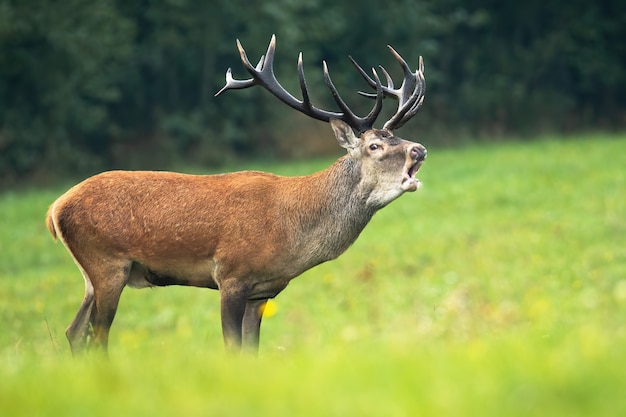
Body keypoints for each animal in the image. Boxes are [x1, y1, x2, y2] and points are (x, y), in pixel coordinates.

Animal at [46, 35, 426, 354]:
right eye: (374, 146)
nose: (419, 149)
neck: (291, 232)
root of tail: (54, 209)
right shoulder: (230, 274)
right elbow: (232, 349)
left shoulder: (263, 291)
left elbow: (250, 352)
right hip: (107, 262)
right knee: (97, 336)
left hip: (93, 275)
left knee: (74, 331)